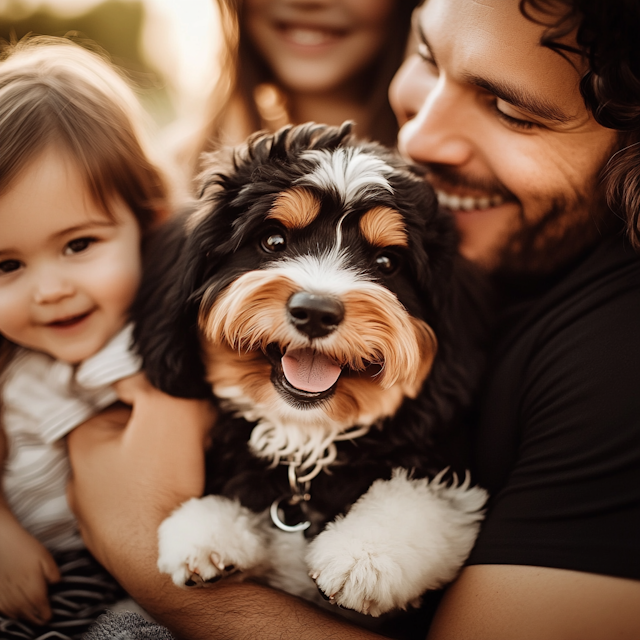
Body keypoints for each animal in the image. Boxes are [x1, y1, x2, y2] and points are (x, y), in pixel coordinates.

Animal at [131, 122, 490, 616]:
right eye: (273, 240)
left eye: (387, 263)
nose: (316, 311)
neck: (305, 436)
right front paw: (207, 531)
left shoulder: (449, 479)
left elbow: (420, 502)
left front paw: (364, 556)